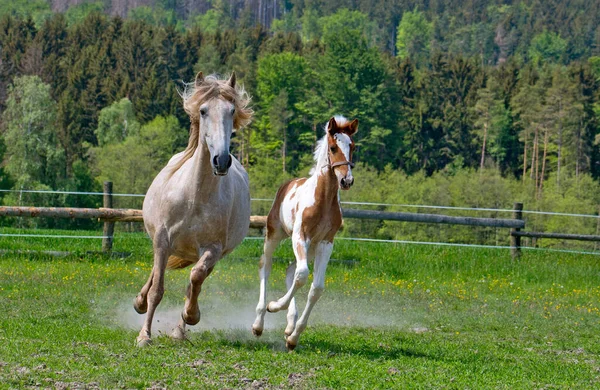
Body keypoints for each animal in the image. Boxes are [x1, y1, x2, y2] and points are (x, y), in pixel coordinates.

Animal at [132, 71, 252, 346]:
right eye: (203, 111)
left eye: (232, 111)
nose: (222, 160)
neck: (194, 197)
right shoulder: (162, 239)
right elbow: (157, 290)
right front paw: (144, 335)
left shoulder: (212, 249)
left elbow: (194, 280)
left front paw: (191, 315)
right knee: (155, 274)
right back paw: (139, 303)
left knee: (194, 280)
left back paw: (180, 329)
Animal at [252, 116, 356, 350]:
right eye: (333, 147)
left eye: (352, 147)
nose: (347, 181)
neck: (323, 200)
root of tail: (287, 184)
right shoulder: (300, 236)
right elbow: (302, 275)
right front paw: (274, 305)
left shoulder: (326, 242)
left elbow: (316, 287)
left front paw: (293, 337)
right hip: (275, 234)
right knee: (266, 265)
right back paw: (259, 322)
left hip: (312, 247)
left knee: (290, 270)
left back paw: (289, 325)